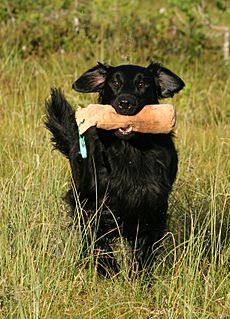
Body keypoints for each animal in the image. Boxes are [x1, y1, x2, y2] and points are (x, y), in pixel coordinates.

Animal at [45, 62, 185, 272]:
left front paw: (138, 275)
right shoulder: (90, 204)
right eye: (115, 82)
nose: (125, 103)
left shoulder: (153, 206)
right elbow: (99, 243)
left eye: (143, 83)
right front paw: (110, 271)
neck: (130, 150)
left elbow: (144, 250)